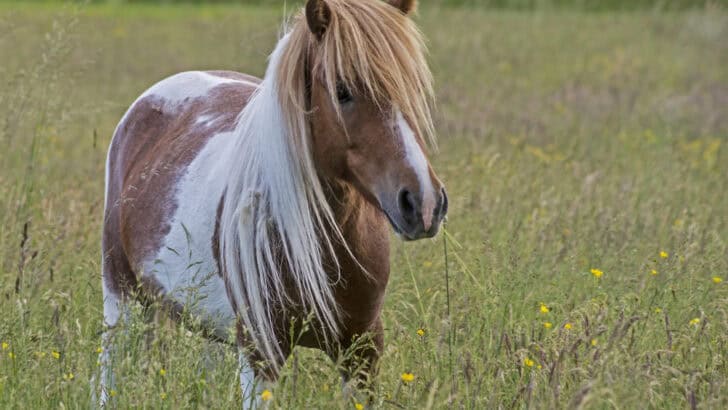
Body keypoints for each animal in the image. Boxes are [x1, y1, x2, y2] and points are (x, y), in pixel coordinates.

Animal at [99, 0, 447, 406]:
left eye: (413, 89)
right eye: (343, 90)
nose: (423, 204)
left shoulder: (361, 350)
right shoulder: (260, 353)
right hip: (120, 296)